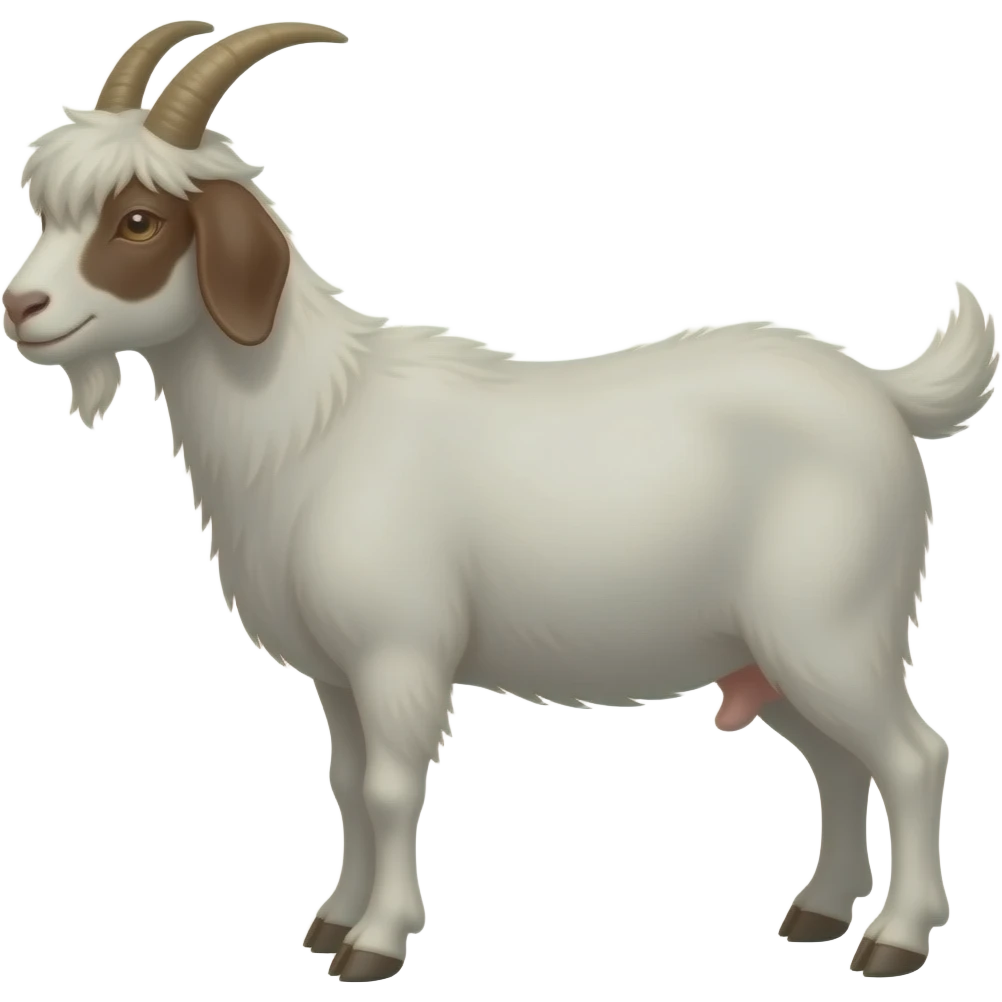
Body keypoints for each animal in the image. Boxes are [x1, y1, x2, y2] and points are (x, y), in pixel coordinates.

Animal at [4, 19, 997, 984]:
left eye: (138, 220)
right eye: (48, 211)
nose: (23, 307)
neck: (314, 423)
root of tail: (882, 394)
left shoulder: (398, 651)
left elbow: (388, 788)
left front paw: (377, 943)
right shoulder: (338, 672)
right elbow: (346, 783)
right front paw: (333, 922)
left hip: (831, 625)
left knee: (912, 757)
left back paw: (896, 939)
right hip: (769, 648)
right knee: (841, 763)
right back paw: (821, 912)